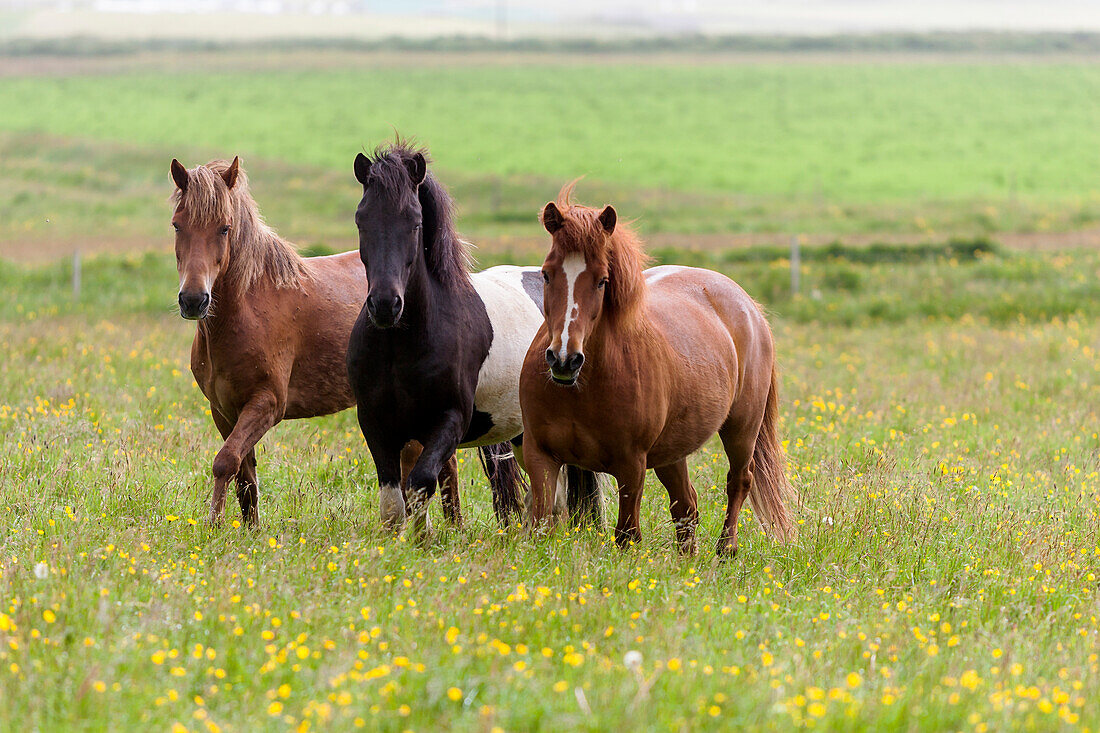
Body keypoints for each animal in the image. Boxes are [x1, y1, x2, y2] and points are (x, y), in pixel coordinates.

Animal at [168, 155, 519, 526]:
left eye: (224, 227)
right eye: (177, 226)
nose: (193, 300)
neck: (248, 309)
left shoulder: (266, 404)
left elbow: (225, 462)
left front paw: (214, 525)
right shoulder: (223, 411)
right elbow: (244, 477)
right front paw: (246, 530)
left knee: (443, 468)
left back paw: (453, 527)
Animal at [345, 143, 598, 530]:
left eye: (415, 222)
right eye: (362, 220)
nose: (386, 305)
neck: (401, 346)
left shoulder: (449, 421)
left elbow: (420, 484)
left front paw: (422, 537)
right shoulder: (377, 424)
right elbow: (393, 502)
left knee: (551, 498)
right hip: (523, 434)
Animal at [519, 183, 796, 554]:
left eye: (602, 281)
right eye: (547, 274)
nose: (564, 359)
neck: (582, 389)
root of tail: (748, 306)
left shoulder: (631, 465)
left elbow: (627, 535)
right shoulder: (540, 456)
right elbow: (540, 524)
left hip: (742, 428)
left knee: (739, 481)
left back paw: (725, 551)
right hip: (671, 453)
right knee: (687, 507)